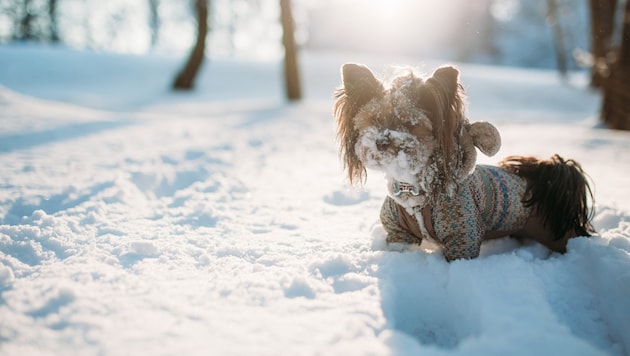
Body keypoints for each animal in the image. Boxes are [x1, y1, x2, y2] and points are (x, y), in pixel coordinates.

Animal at [336, 62, 596, 260]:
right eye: (374, 120)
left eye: (409, 124)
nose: (381, 141)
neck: (414, 188)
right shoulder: (398, 230)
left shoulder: (463, 231)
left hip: (554, 231)